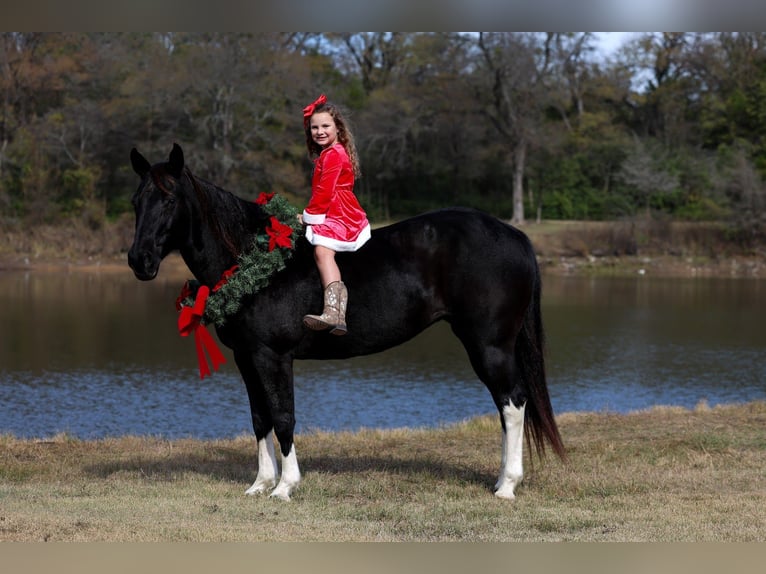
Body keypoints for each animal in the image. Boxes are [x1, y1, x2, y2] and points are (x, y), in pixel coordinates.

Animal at [127, 143, 565, 501]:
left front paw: (285, 487)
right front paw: (259, 485)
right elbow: (260, 419)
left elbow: (283, 417)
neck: (253, 261)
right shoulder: (247, 358)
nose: (139, 260)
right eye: (136, 201)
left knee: (512, 402)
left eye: (168, 199)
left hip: (488, 344)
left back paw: (507, 485)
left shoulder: (273, 356)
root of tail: (515, 236)